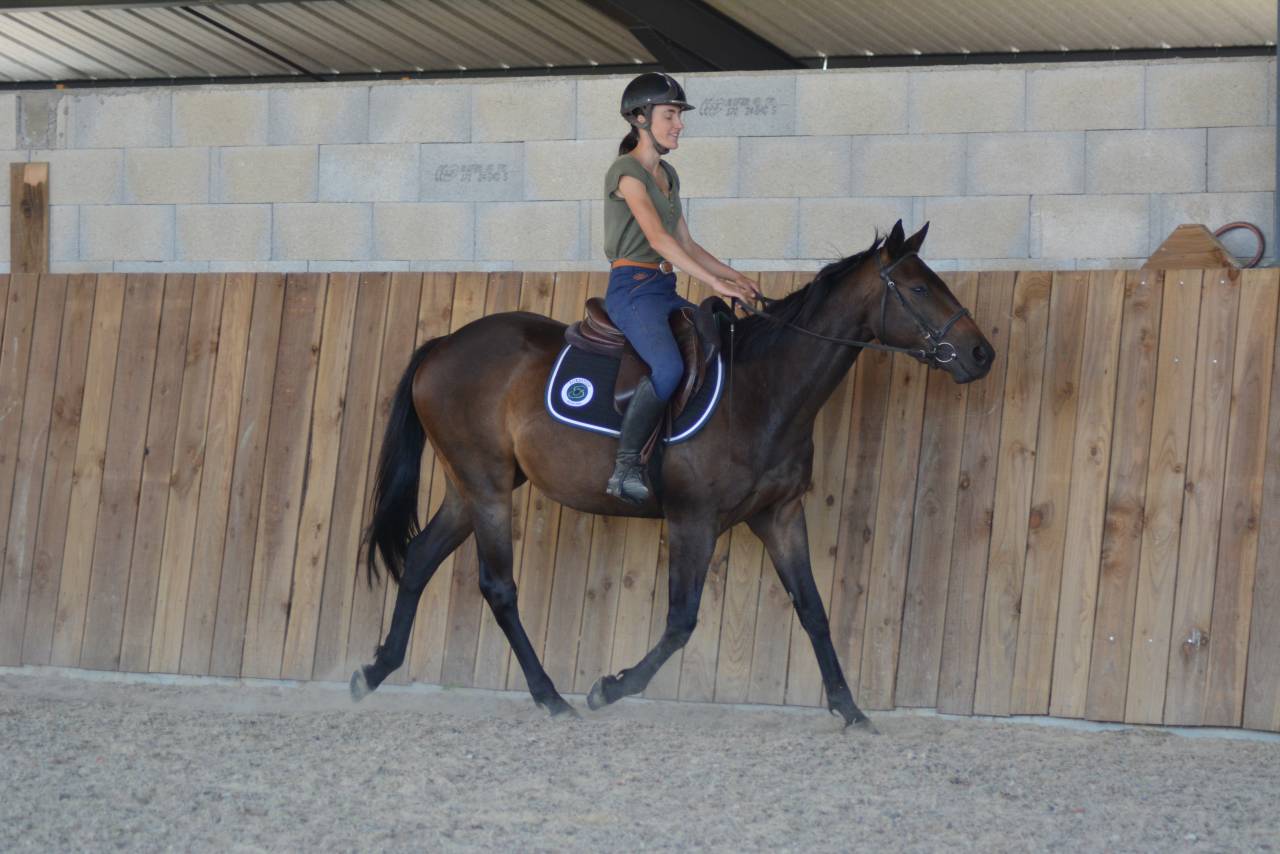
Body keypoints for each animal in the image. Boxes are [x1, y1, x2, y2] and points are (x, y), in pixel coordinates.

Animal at [350, 220, 993, 729]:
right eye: (918, 288)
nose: (982, 354)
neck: (760, 390)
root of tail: (444, 345)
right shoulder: (694, 520)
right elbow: (682, 621)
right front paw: (610, 689)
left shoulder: (779, 515)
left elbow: (812, 608)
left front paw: (850, 709)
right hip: (485, 489)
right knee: (498, 586)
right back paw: (552, 697)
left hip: (472, 488)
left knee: (420, 558)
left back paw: (375, 671)